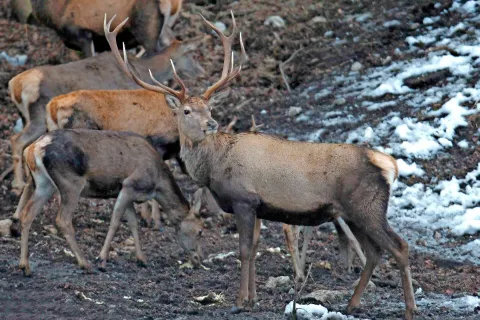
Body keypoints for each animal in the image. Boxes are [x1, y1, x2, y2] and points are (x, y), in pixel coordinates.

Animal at [16, 129, 202, 276]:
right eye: (200, 231)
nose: (199, 259)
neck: (157, 184)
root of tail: (33, 149)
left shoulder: (128, 192)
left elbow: (133, 223)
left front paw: (142, 259)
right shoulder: (129, 185)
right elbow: (115, 221)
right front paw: (102, 259)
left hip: (43, 183)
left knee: (27, 214)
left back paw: (24, 266)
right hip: (71, 183)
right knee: (62, 220)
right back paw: (85, 263)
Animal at [104, 11, 416, 318]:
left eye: (210, 108)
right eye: (187, 111)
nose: (211, 123)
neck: (214, 166)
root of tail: (389, 165)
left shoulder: (243, 199)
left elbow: (243, 250)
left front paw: (240, 301)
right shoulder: (258, 206)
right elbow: (254, 249)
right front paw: (252, 299)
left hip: (366, 206)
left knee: (400, 246)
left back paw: (409, 309)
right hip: (354, 212)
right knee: (375, 252)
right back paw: (352, 304)